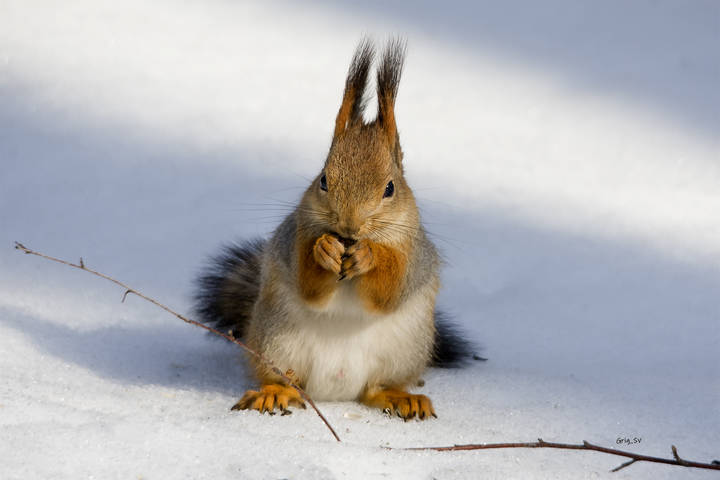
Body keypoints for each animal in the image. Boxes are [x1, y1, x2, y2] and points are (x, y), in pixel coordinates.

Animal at [194, 39, 474, 420]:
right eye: (323, 180)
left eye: (390, 188)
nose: (349, 225)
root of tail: (335, 391)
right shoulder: (295, 235)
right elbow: (309, 286)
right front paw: (324, 250)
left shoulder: (413, 253)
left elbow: (388, 291)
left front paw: (370, 256)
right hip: (277, 339)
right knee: (287, 379)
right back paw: (274, 393)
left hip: (404, 350)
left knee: (375, 388)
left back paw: (401, 397)